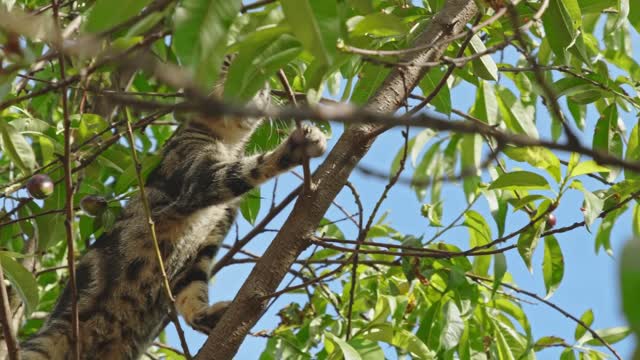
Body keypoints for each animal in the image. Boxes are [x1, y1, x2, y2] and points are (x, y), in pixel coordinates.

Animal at [20, 76, 328, 358]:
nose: (259, 83)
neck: (228, 142)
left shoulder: (207, 240)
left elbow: (193, 289)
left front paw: (209, 316)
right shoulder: (199, 179)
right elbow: (248, 168)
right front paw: (297, 145)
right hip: (45, 343)